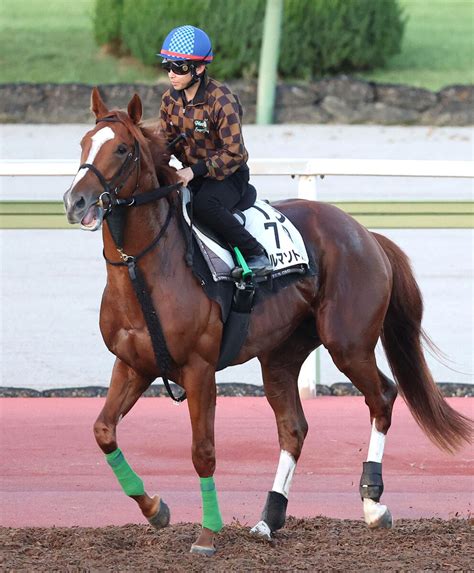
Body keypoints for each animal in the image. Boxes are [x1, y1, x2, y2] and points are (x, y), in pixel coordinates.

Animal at [62, 88, 470, 556]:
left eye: (123, 149)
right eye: (83, 143)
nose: (75, 201)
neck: (148, 270)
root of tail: (366, 234)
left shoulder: (199, 369)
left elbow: (203, 451)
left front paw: (208, 534)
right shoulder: (133, 365)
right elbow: (103, 430)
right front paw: (155, 508)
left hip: (348, 342)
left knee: (382, 396)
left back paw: (373, 504)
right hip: (280, 355)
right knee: (293, 428)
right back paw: (270, 518)